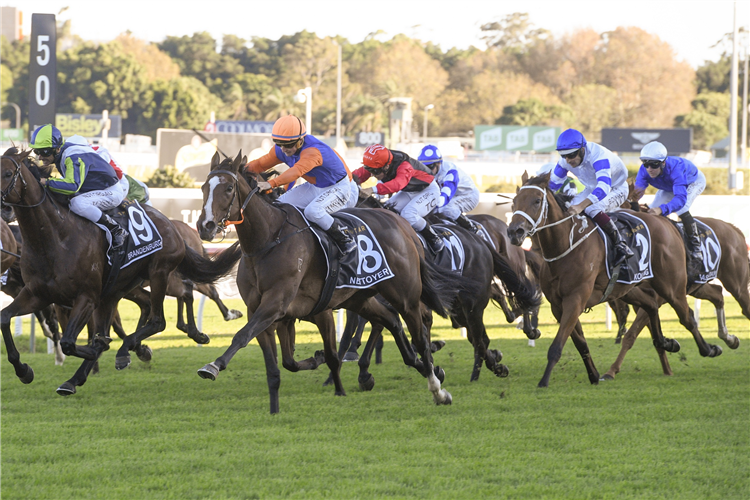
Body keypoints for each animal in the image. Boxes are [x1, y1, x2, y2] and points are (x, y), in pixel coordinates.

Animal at [0, 148, 241, 394]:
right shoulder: (37, 294)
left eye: (8, 173)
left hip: (160, 273)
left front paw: (105, 349)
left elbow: (72, 342)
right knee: (161, 301)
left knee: (166, 312)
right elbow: (5, 318)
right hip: (118, 289)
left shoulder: (86, 297)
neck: (54, 237)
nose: (5, 211)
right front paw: (23, 370)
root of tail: (173, 226)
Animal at [194, 154, 476, 412]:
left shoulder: (277, 304)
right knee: (391, 321)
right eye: (204, 187)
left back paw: (437, 388)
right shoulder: (267, 310)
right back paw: (419, 367)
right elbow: (278, 359)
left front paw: (213, 366)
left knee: (418, 333)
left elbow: (242, 335)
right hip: (361, 298)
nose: (205, 226)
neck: (268, 240)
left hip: (405, 296)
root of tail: (404, 226)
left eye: (228, 189)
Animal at [506, 172, 724, 386]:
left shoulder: (575, 299)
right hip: (629, 289)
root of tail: (665, 222)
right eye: (514, 201)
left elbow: (557, 345)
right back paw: (666, 342)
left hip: (672, 287)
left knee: (687, 317)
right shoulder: (558, 305)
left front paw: (543, 381)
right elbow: (580, 342)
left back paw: (710, 348)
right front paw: (594, 375)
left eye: (537, 200)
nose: (514, 231)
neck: (566, 245)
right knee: (651, 305)